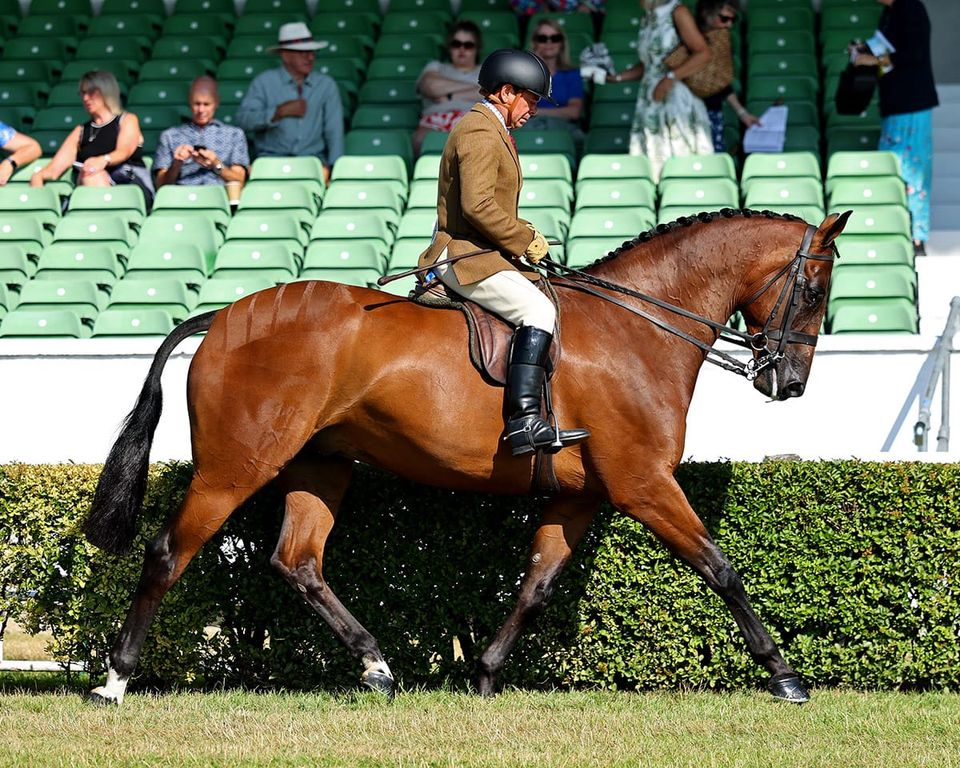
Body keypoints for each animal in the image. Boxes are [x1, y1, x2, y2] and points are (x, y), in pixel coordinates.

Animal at [83, 209, 850, 705]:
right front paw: (784, 676)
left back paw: (378, 668)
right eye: (814, 291)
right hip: (234, 468)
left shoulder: (580, 495)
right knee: (168, 553)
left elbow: (536, 587)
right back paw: (114, 680)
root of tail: (224, 315)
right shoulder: (644, 484)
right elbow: (721, 568)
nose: (790, 383)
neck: (637, 327)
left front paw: (482, 674)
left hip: (319, 467)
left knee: (297, 561)